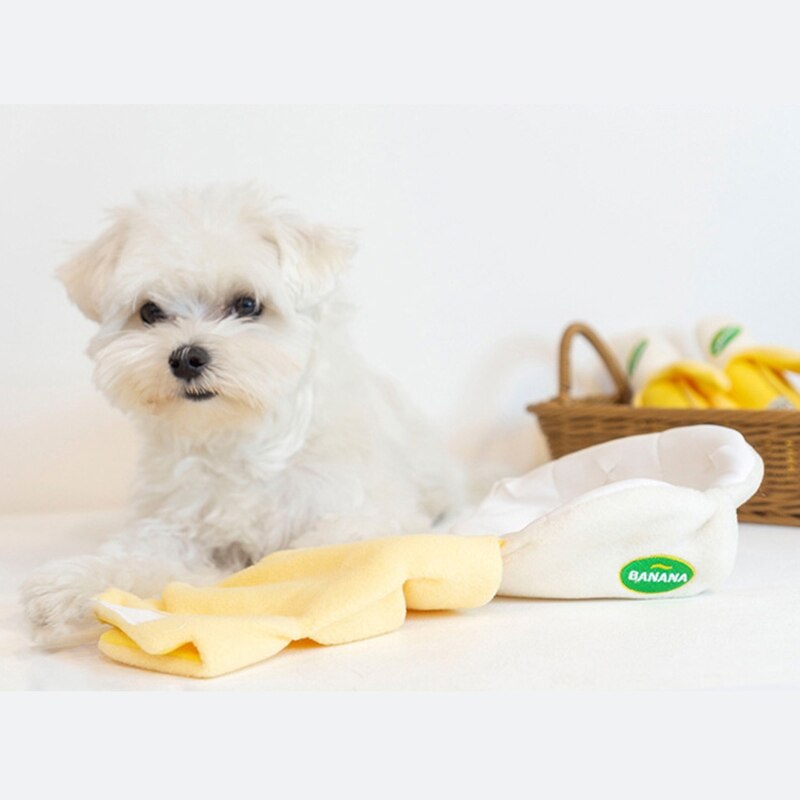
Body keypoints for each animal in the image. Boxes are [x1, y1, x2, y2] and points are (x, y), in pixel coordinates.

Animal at [20, 184, 462, 648]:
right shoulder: (177, 525)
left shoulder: (362, 513)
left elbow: (318, 552)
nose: (186, 357)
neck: (237, 437)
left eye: (247, 304)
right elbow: (137, 557)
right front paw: (69, 584)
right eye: (150, 311)